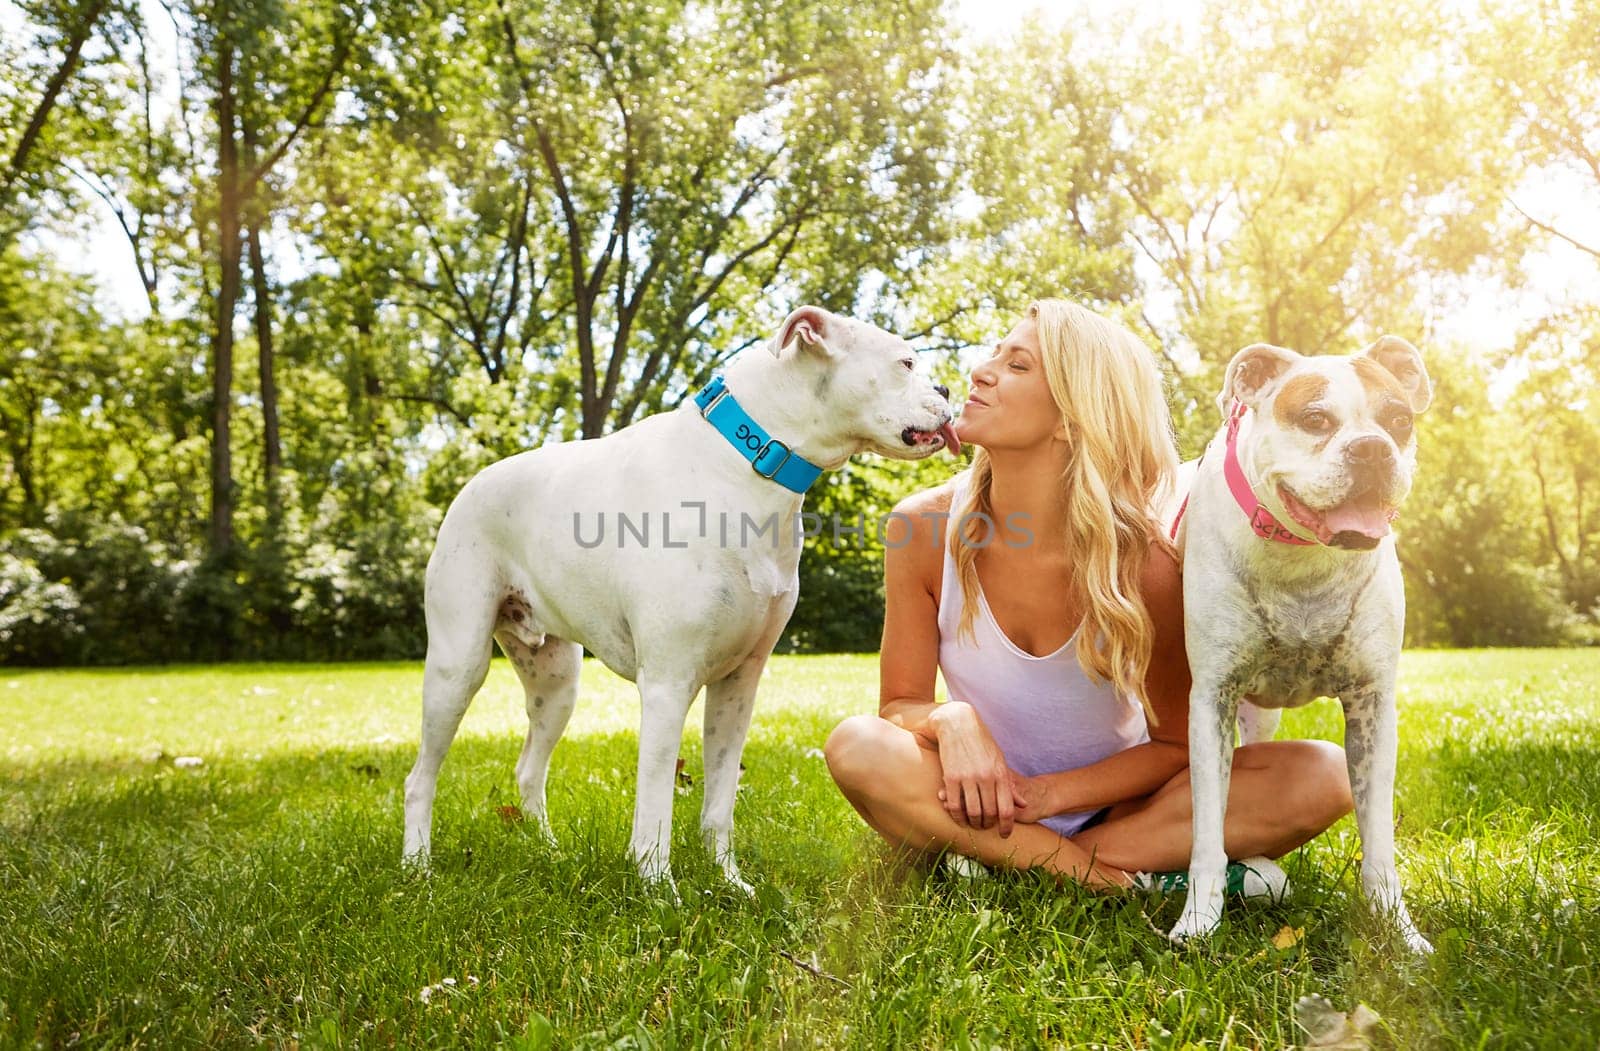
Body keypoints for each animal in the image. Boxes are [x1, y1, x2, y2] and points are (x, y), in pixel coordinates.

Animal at [406, 303, 953, 895]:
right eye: (905, 362)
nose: (948, 387)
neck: (749, 464)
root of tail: (470, 484)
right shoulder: (668, 684)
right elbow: (655, 805)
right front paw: (657, 889)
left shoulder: (739, 686)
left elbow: (719, 800)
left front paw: (730, 882)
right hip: (458, 667)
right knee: (420, 777)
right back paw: (418, 869)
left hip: (556, 682)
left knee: (530, 768)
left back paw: (548, 853)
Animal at [1164, 334, 1440, 953]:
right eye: (1315, 419)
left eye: (1399, 421)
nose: (1372, 449)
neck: (1303, 563)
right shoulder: (1212, 699)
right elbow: (1207, 832)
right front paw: (1199, 922)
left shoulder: (1372, 707)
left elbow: (1379, 840)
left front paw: (1398, 931)